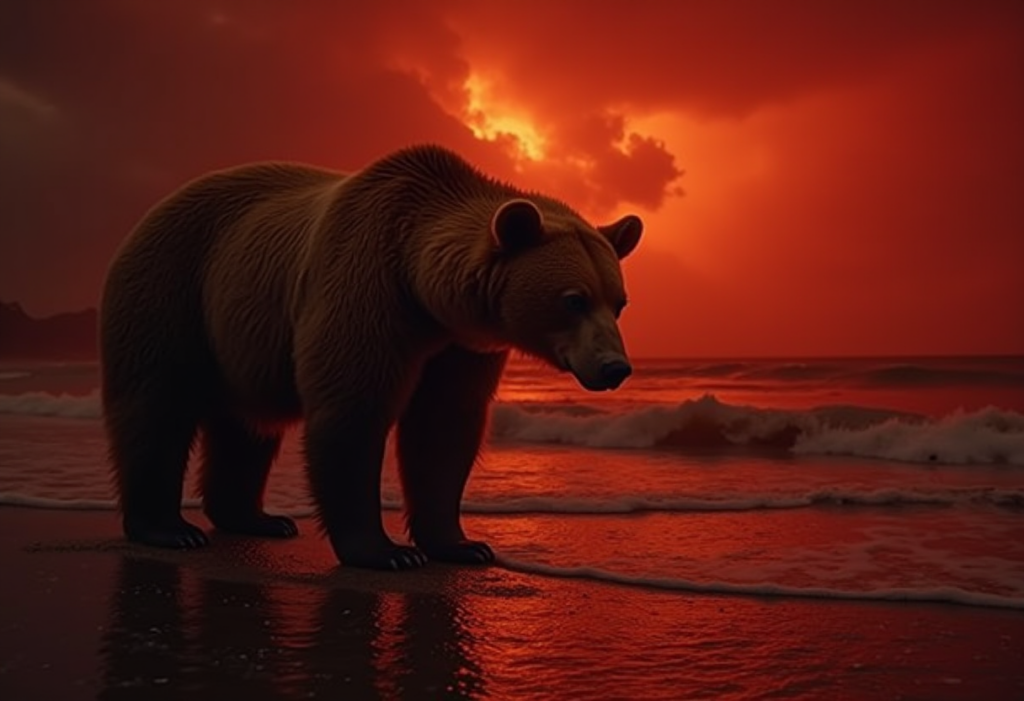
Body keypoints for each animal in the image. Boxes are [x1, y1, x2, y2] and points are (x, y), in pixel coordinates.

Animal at [100, 144, 643, 570]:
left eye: (618, 301)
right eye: (573, 299)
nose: (615, 367)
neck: (422, 287)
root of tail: (153, 210)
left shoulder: (459, 345)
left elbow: (444, 426)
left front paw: (462, 544)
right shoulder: (367, 287)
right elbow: (353, 410)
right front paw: (387, 551)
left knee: (247, 425)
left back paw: (256, 518)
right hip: (173, 285)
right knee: (156, 402)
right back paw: (169, 528)